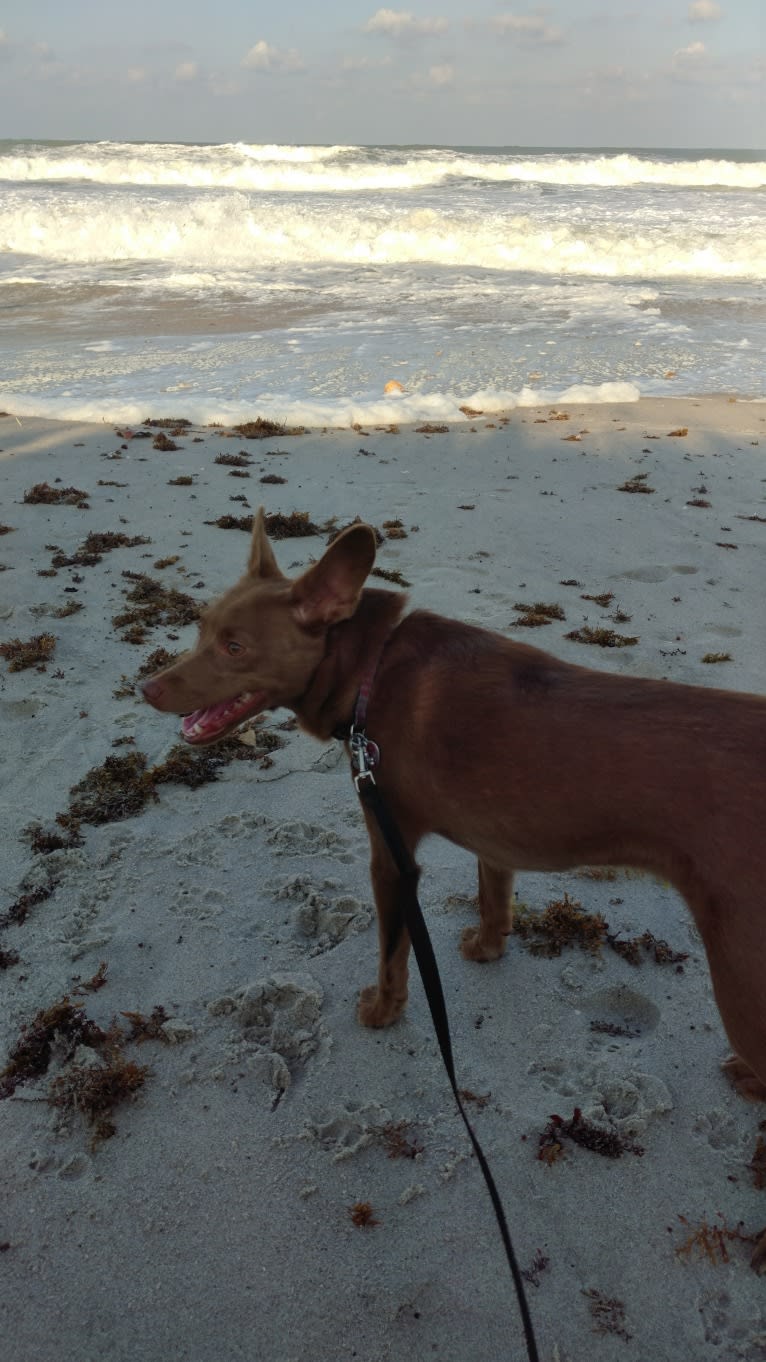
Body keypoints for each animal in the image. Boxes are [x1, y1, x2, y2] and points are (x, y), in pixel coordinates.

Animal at [140, 512, 763, 1105]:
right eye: (201, 630)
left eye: (235, 647)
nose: (146, 689)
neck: (371, 670)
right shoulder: (496, 839)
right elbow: (493, 902)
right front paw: (487, 949)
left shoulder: (391, 860)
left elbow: (393, 954)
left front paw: (383, 1012)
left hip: (742, 981)